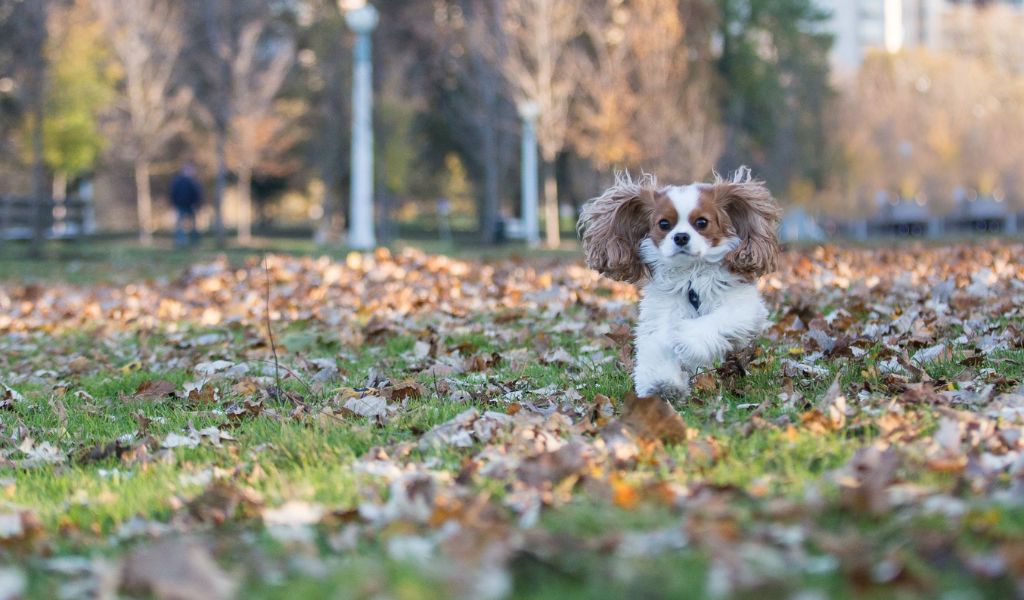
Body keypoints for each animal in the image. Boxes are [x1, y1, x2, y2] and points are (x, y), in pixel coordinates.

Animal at [577, 165, 782, 399]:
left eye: (701, 222)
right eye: (664, 224)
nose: (681, 236)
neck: (690, 274)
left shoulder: (743, 308)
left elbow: (713, 322)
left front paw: (686, 340)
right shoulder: (661, 313)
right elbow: (658, 345)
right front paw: (663, 384)